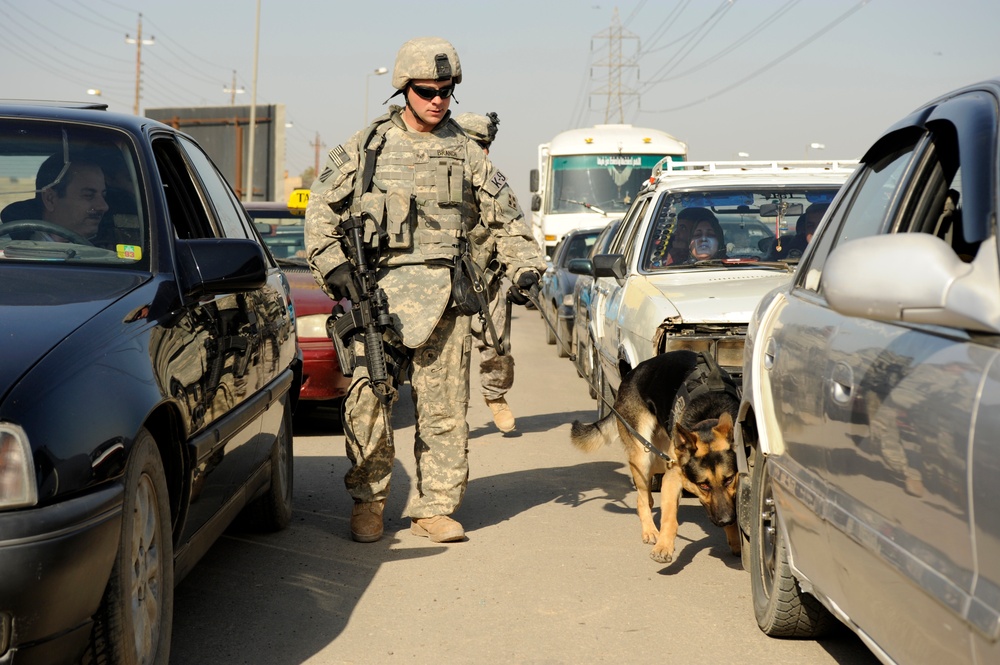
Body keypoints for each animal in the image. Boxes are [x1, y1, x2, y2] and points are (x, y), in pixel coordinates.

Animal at [572, 350, 744, 564]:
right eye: (703, 486)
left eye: (729, 480)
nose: (725, 519)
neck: (709, 414)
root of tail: (630, 373)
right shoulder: (673, 478)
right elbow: (669, 518)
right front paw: (663, 548)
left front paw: (735, 540)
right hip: (643, 456)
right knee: (641, 499)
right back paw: (650, 531)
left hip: (659, 456)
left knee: (647, 493)